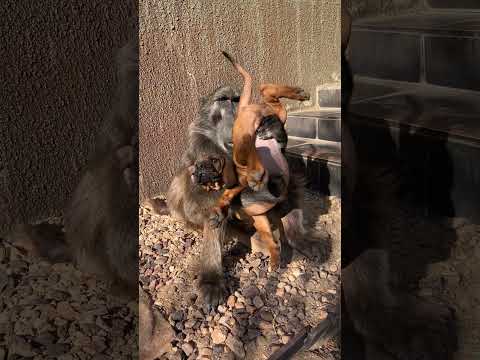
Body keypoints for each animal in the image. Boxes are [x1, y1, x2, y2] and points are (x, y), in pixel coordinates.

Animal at [211, 51, 310, 270]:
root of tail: (245, 109)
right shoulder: (258, 215)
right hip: (272, 114)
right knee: (267, 91)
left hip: (246, 134)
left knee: (266, 90)